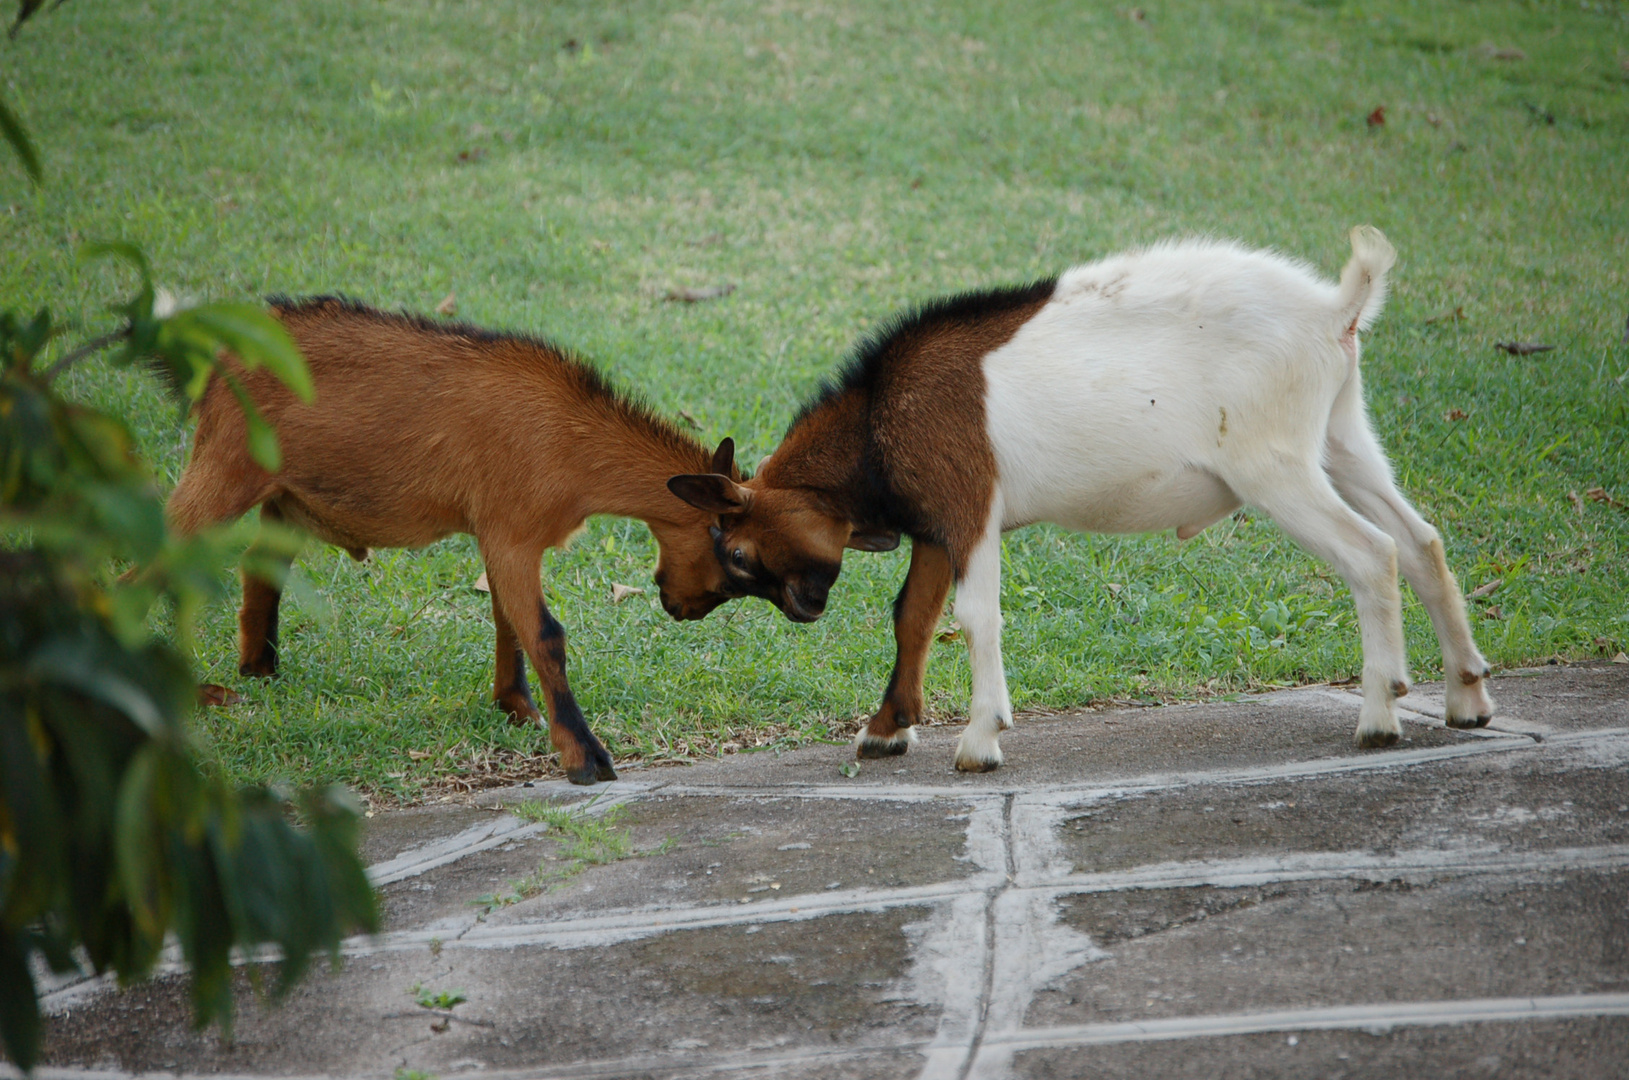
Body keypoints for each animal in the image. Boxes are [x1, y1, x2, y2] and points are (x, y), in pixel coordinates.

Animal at [166, 296, 746, 785]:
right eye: (733, 552)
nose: (681, 608)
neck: (570, 436)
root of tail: (217, 360)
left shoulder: (500, 537)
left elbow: (509, 622)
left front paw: (516, 708)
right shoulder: (512, 534)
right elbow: (545, 635)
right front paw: (586, 757)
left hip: (285, 499)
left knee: (258, 564)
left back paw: (258, 668)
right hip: (225, 466)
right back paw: (189, 691)